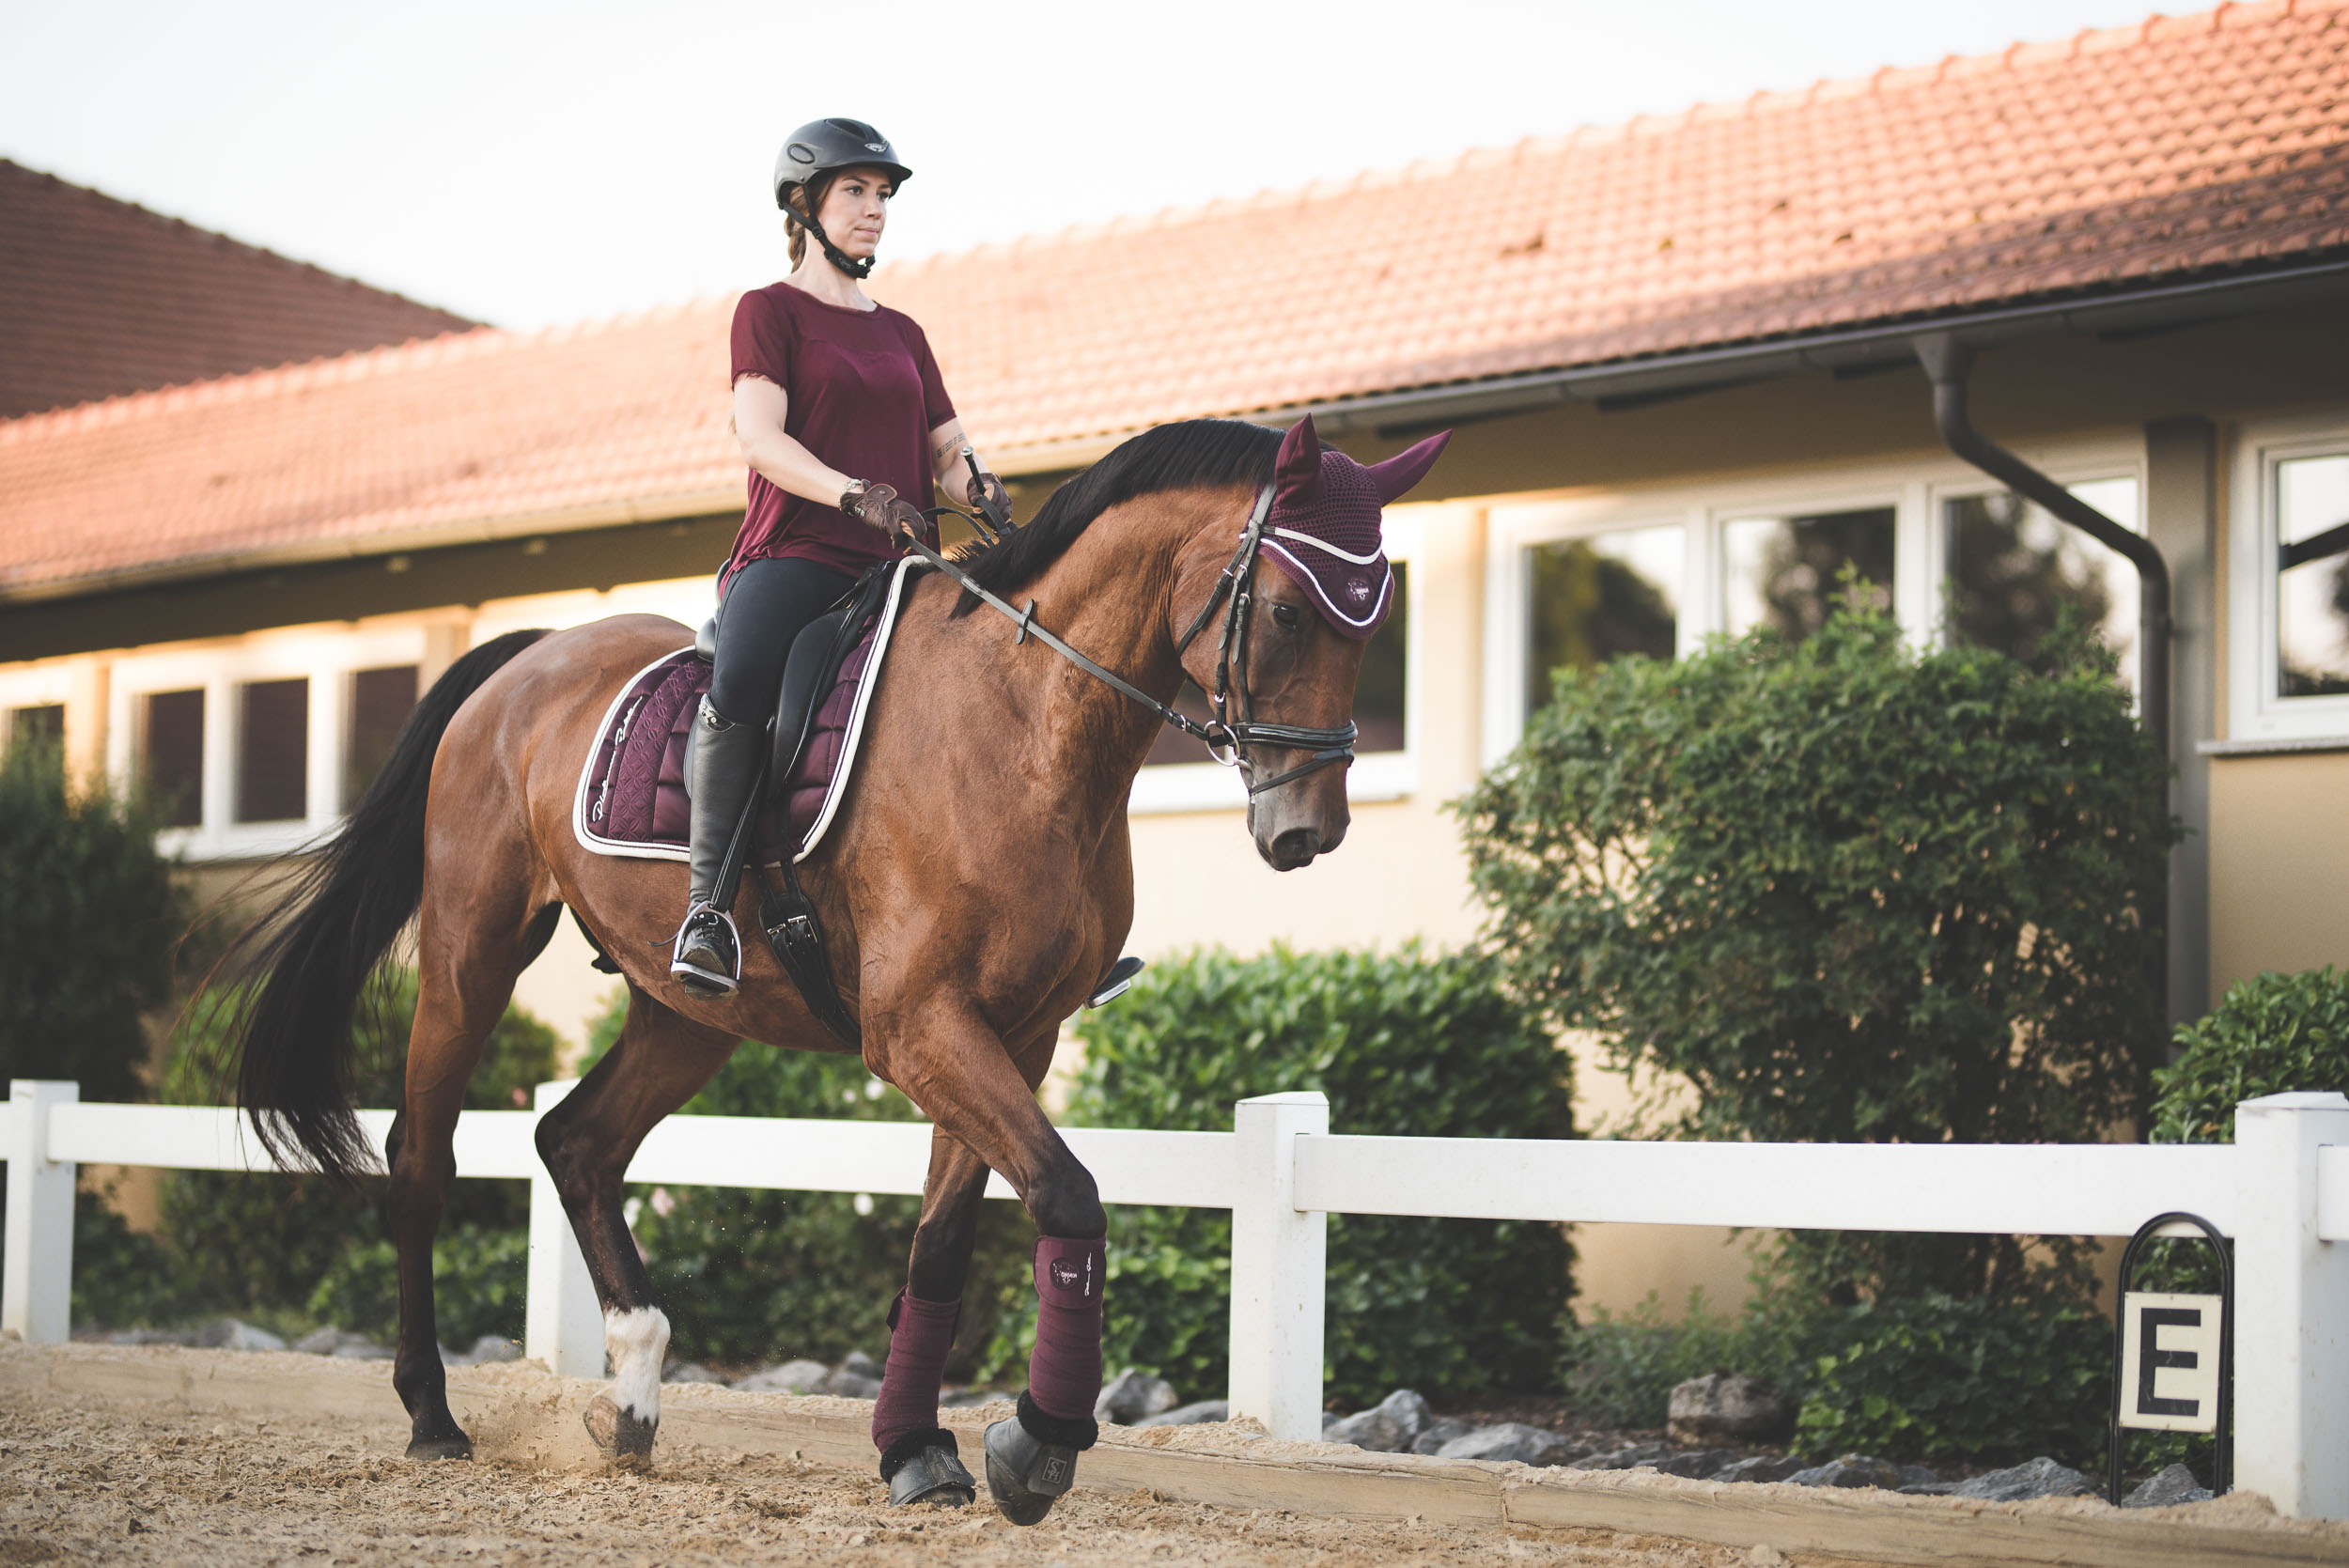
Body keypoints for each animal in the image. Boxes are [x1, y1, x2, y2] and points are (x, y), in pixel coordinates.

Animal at [228, 412, 1456, 1521]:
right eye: (1289, 610)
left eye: (1377, 620)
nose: (1306, 830)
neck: (1026, 726)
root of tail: (526, 656)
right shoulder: (918, 1025)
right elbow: (1068, 1193)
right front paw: (1036, 1442)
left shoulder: (1015, 1033)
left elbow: (942, 1244)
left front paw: (919, 1449)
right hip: (471, 948)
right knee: (422, 1156)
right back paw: (432, 1413)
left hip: (688, 1014)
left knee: (575, 1141)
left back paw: (633, 1398)